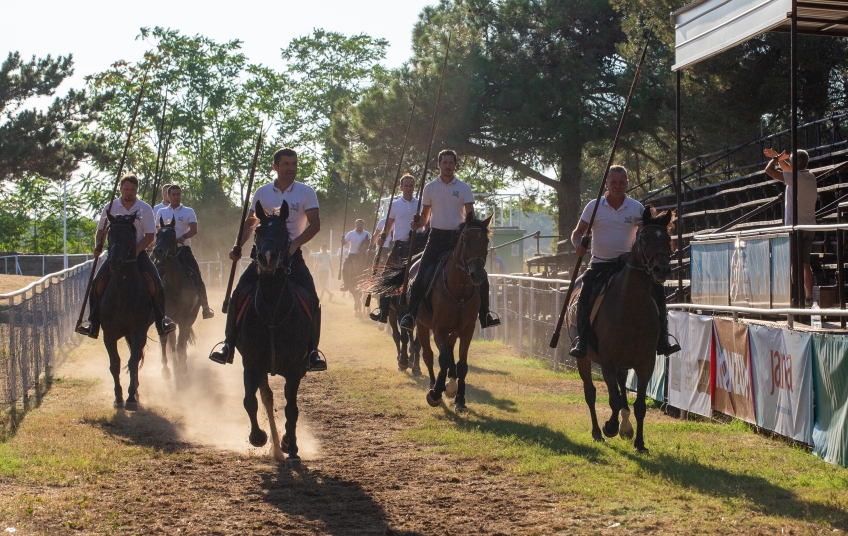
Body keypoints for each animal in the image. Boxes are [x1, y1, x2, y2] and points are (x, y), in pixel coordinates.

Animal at [98, 214, 155, 410]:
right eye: (110, 234)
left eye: (129, 235)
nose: (115, 261)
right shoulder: (108, 334)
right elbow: (115, 363)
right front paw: (118, 397)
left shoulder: (139, 332)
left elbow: (133, 361)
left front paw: (130, 397)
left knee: (135, 360)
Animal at [152, 216, 200, 378]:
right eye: (157, 234)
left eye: (172, 235)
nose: (158, 251)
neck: (175, 285)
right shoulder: (167, 317)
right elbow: (167, 341)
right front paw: (167, 368)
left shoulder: (185, 318)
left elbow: (181, 342)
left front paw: (181, 366)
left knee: (182, 339)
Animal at [235, 200, 314, 464]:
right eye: (258, 231)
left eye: (283, 232)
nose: (267, 257)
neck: (271, 311)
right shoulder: (251, 364)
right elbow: (251, 400)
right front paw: (258, 437)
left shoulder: (294, 368)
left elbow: (292, 407)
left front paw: (293, 446)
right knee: (267, 399)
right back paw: (276, 446)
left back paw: (286, 443)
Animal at [564, 206, 676, 452]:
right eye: (644, 238)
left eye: (667, 239)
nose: (661, 270)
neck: (630, 308)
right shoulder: (608, 360)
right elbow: (612, 398)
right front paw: (610, 427)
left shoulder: (646, 363)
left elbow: (639, 404)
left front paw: (639, 442)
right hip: (583, 358)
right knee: (591, 392)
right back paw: (598, 431)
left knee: (622, 387)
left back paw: (625, 426)